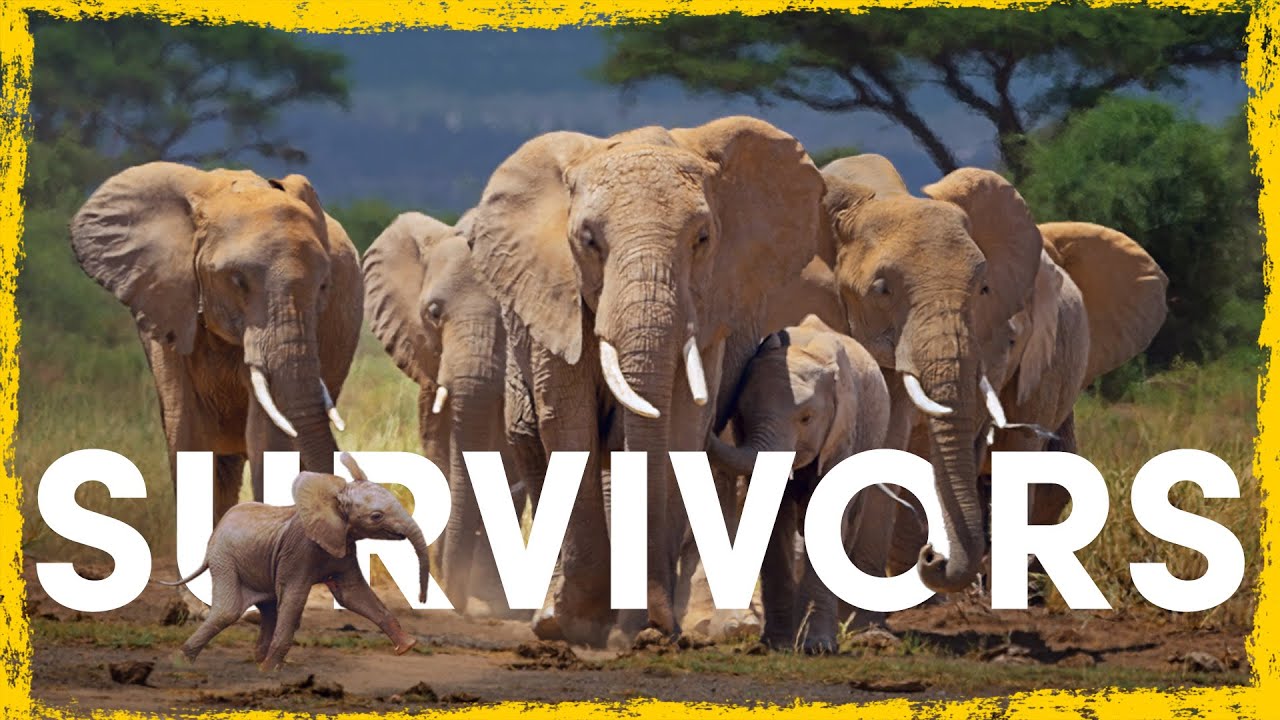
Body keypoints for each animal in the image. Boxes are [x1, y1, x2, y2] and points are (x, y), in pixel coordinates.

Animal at [160, 453, 430, 671]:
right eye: (376, 516)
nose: (421, 599)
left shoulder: (343, 547)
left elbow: (352, 594)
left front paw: (407, 645)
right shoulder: (299, 550)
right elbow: (295, 597)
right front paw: (270, 670)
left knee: (268, 608)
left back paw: (259, 662)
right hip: (224, 559)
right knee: (228, 611)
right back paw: (181, 662)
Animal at [465, 116, 827, 646]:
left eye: (702, 238)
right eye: (588, 240)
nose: (653, 626)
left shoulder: (711, 309)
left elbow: (683, 428)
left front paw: (647, 626)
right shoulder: (556, 296)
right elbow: (568, 425)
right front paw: (572, 624)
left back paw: (711, 624)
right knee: (531, 442)